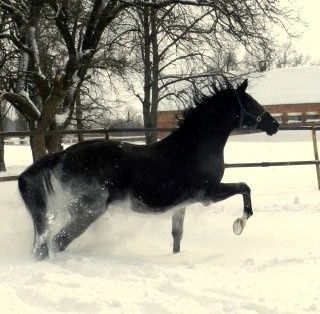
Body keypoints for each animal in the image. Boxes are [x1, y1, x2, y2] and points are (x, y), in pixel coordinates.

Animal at [18, 79, 278, 260]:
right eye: (252, 103)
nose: (274, 125)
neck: (194, 147)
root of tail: (63, 155)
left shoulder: (182, 204)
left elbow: (177, 235)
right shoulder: (208, 194)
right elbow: (245, 187)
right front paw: (240, 223)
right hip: (89, 210)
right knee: (58, 241)